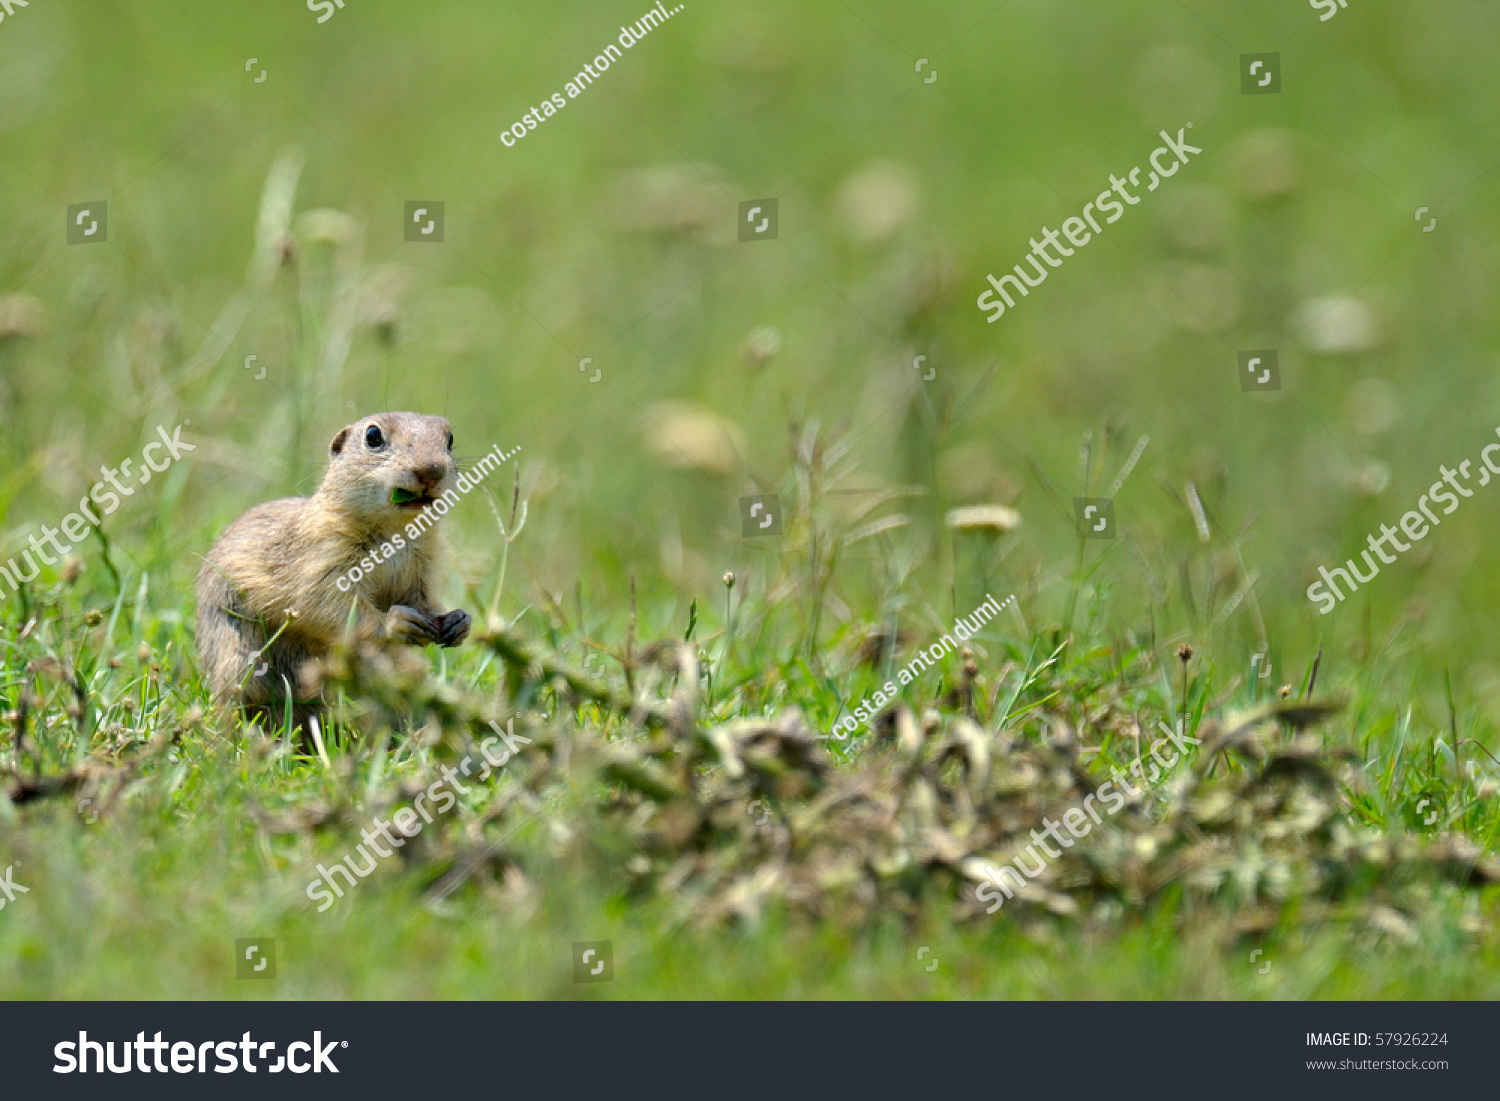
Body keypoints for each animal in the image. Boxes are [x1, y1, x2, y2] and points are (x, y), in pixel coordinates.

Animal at [198, 411, 468, 729]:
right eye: (373, 436)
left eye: (449, 438)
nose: (432, 470)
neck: (395, 532)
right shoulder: (324, 556)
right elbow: (327, 605)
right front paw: (397, 621)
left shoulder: (422, 568)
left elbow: (423, 600)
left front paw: (457, 620)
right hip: (239, 658)